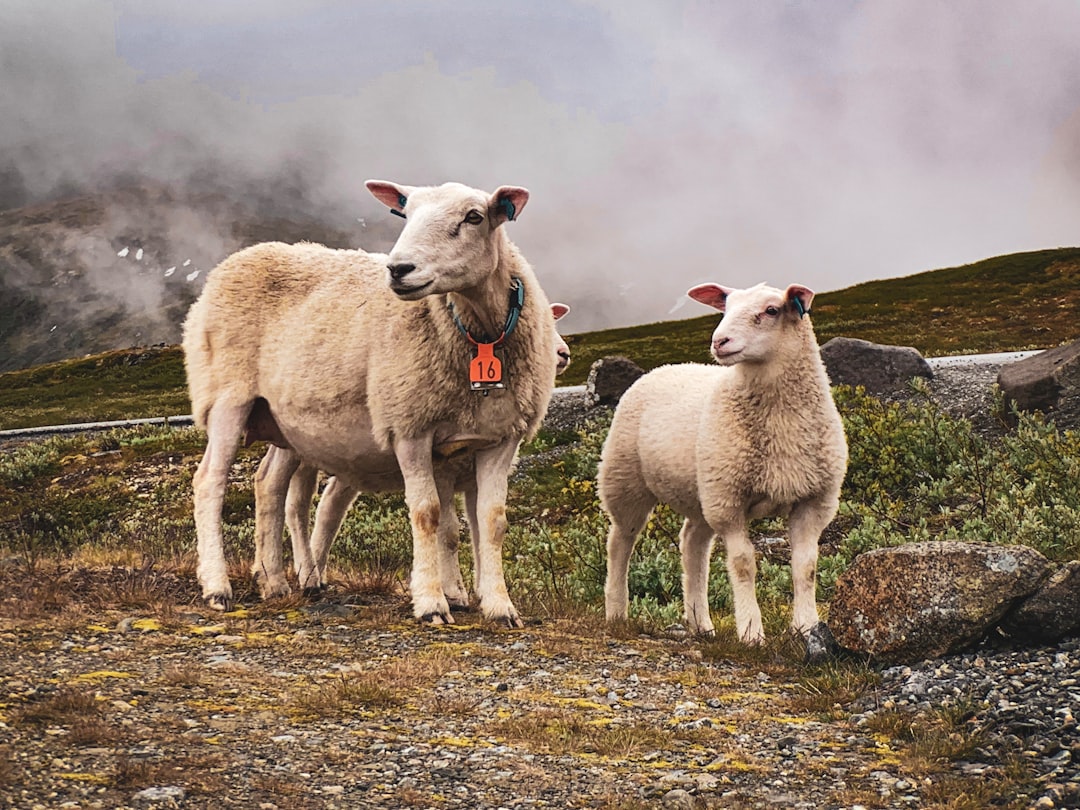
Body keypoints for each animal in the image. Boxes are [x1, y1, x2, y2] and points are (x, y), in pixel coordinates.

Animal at [267, 304, 574, 604]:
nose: (563, 354)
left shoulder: (471, 476)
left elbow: (479, 527)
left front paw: (483, 591)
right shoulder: (444, 470)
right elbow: (449, 531)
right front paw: (453, 592)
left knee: (328, 505)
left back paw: (308, 572)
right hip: (293, 445)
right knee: (287, 496)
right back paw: (293, 576)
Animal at [600, 282, 842, 643]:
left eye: (772, 310)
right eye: (725, 308)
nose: (719, 341)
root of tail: (663, 367)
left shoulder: (813, 501)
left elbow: (806, 566)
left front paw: (806, 626)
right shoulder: (729, 503)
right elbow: (743, 564)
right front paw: (751, 633)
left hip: (703, 493)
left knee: (692, 545)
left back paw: (700, 622)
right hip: (627, 480)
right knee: (620, 543)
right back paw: (617, 611)